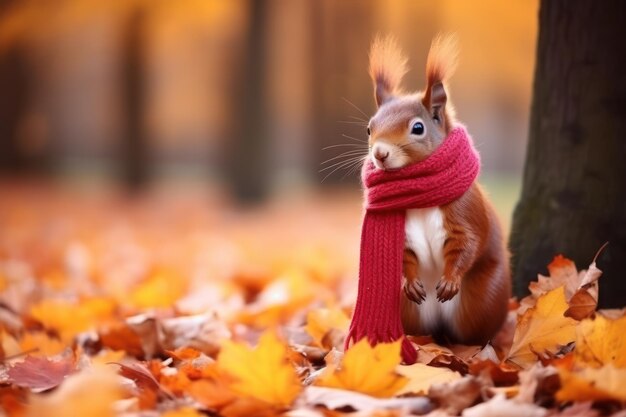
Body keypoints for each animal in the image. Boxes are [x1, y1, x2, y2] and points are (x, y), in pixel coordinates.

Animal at [364, 35, 510, 346]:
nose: (379, 154)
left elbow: (468, 243)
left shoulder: (464, 210)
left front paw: (451, 280)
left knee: (474, 334)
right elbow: (403, 255)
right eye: (369, 129)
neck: (420, 196)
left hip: (482, 300)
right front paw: (409, 281)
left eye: (418, 128)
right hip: (407, 311)